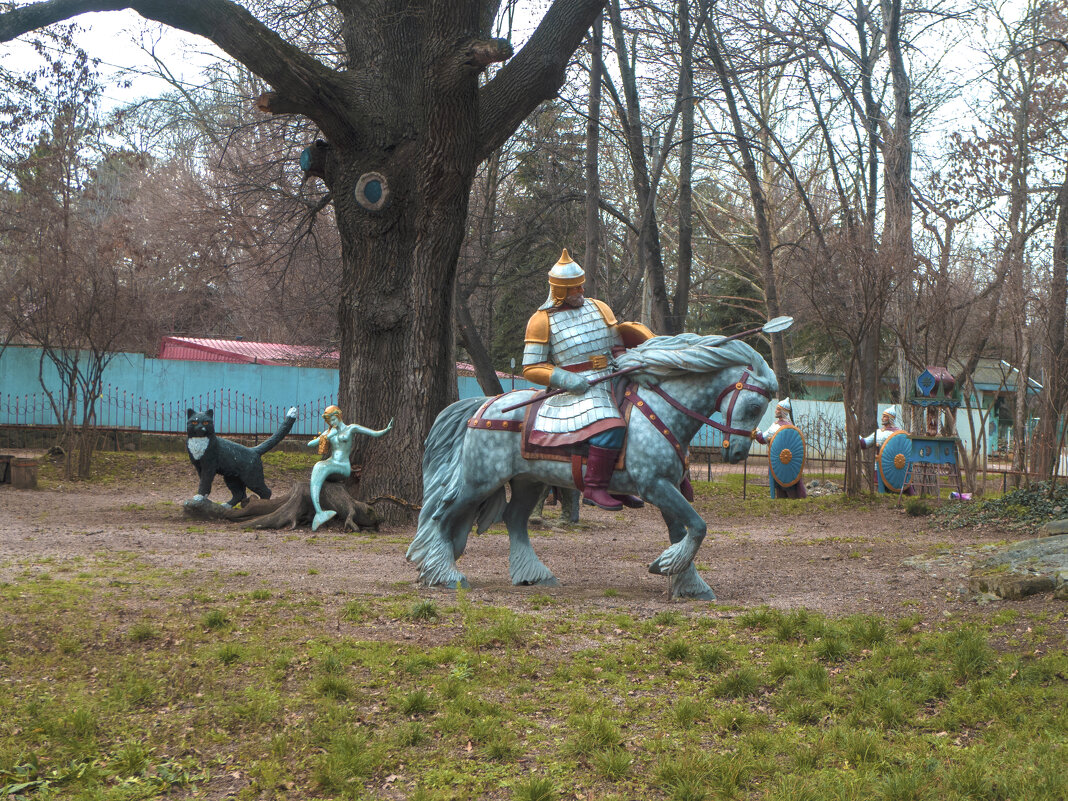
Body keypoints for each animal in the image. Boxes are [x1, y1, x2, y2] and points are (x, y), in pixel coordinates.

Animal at [403, 333, 773, 602]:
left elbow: (684, 532)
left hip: (528, 481)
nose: (739, 452)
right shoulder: (656, 486)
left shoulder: (667, 487)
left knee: (514, 519)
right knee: (443, 515)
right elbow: (698, 526)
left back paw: (533, 575)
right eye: (755, 405)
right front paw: (670, 567)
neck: (660, 410)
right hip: (479, 480)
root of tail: (485, 405)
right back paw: (445, 574)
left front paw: (686, 581)